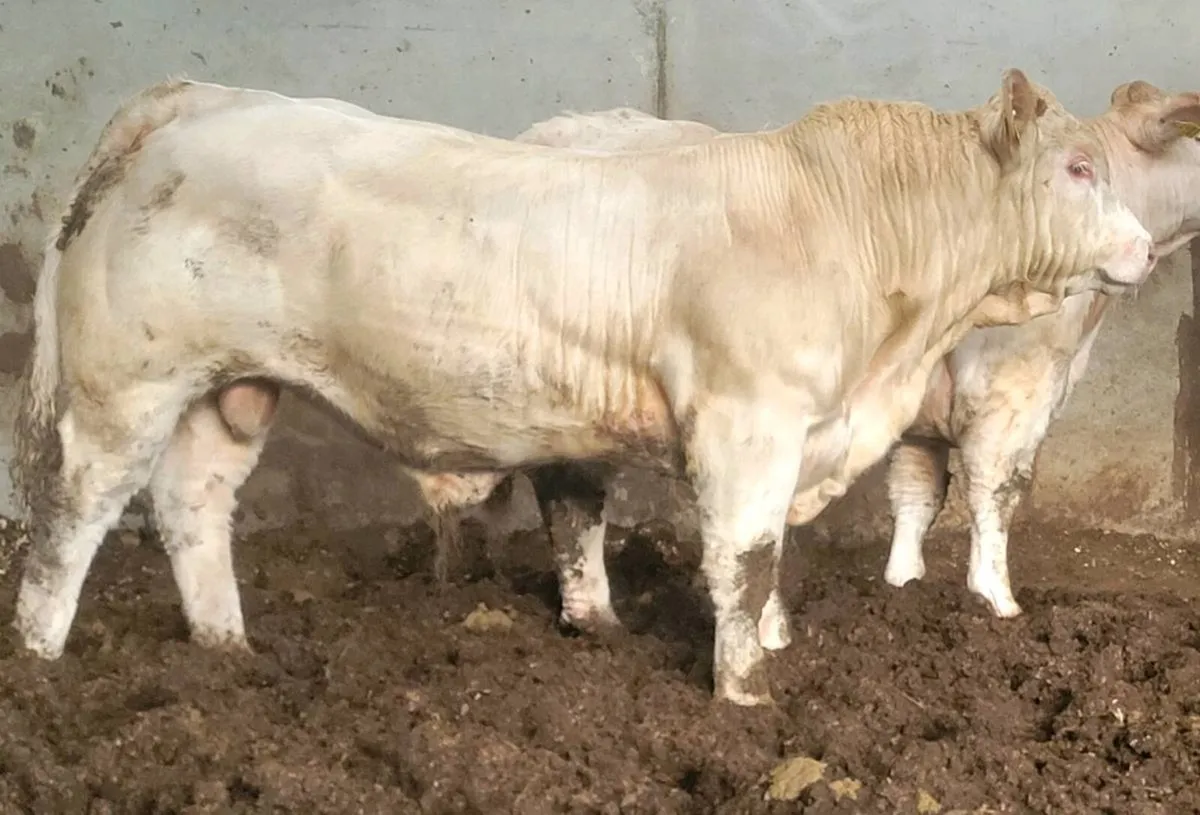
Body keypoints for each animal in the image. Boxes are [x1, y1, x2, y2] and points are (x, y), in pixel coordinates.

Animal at [11, 70, 1155, 707]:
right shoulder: (747, 419)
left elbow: (761, 557)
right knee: (73, 514)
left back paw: (225, 646)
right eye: (1079, 170)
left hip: (229, 385)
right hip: (126, 380)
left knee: (192, 503)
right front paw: (747, 693)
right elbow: (746, 557)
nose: (1147, 247)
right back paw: (36, 659)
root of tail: (194, 102)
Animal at [881, 79, 1200, 617]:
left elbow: (915, 492)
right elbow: (998, 487)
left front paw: (903, 584)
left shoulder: (917, 419)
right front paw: (997, 602)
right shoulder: (1014, 389)